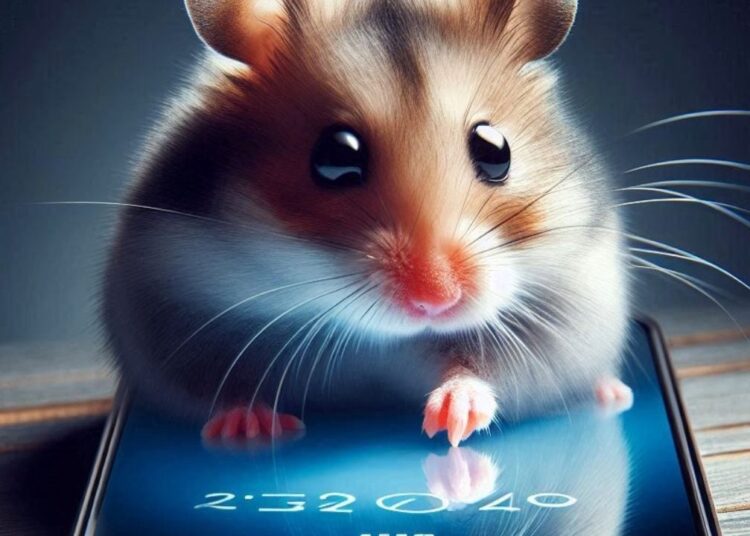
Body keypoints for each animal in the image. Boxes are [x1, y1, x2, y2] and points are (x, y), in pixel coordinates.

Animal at [104, 0, 631, 447]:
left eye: (495, 150)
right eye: (336, 158)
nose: (435, 301)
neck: (373, 337)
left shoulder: (560, 315)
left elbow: (480, 370)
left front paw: (451, 421)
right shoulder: (174, 305)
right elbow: (220, 382)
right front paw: (251, 428)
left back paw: (613, 391)